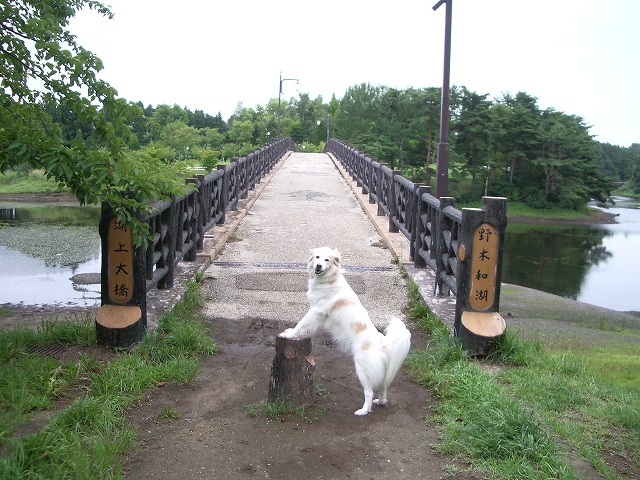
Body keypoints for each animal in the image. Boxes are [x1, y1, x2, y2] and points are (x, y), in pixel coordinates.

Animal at [278, 246, 410, 414]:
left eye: (327, 260)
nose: (318, 266)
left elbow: (301, 324)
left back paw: (363, 411)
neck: (329, 280)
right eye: (317, 257)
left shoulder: (316, 311)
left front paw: (290, 334)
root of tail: (383, 342)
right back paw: (380, 402)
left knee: (369, 392)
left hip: (362, 370)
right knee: (383, 388)